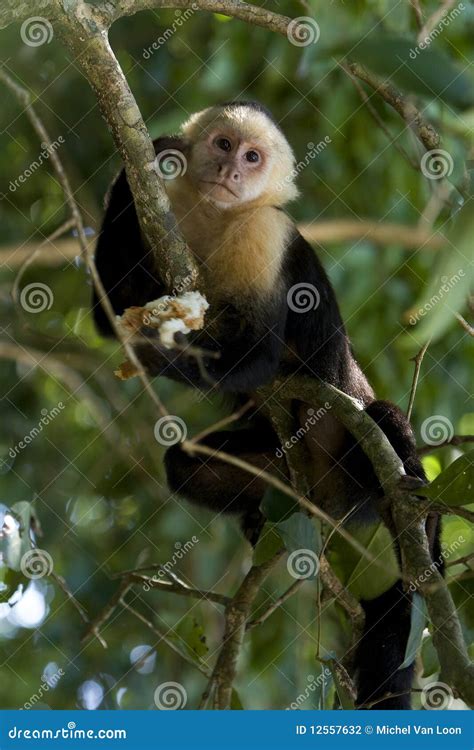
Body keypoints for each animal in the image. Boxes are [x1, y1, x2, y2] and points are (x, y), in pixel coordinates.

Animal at [92, 101, 442, 710]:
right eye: (224, 143)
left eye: (253, 157)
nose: (232, 170)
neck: (215, 215)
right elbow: (109, 309)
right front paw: (154, 154)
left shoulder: (265, 235)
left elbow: (257, 356)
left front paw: (163, 350)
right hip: (286, 476)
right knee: (185, 466)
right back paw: (261, 521)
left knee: (382, 423)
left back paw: (416, 521)